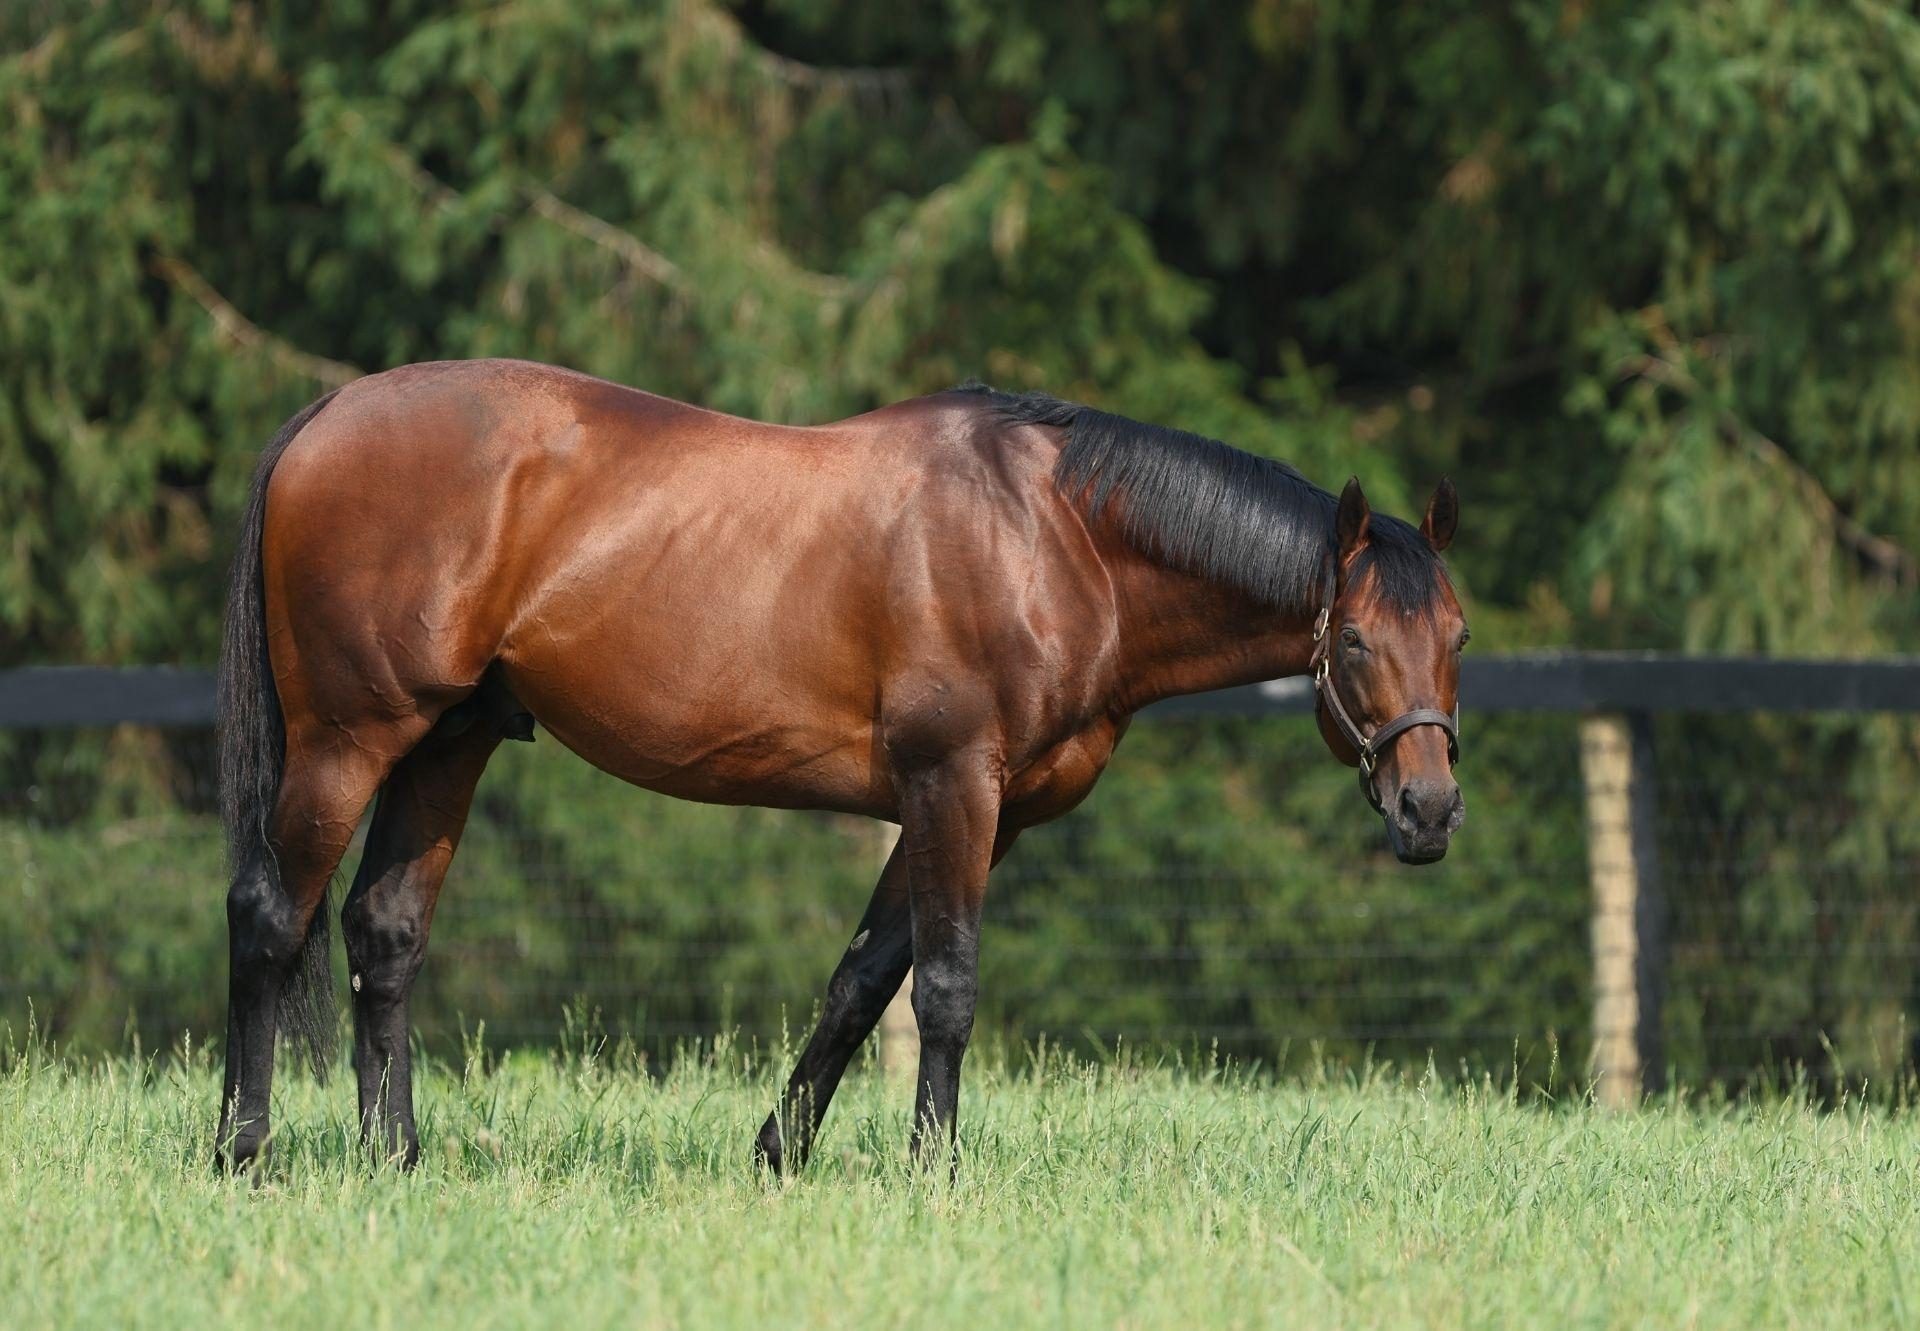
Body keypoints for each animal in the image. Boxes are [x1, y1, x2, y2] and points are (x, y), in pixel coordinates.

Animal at [214, 359, 1466, 1167]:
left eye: (1456, 635)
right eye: (1357, 641)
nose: (1431, 809)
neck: (1055, 537)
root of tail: (328, 411)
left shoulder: (972, 808)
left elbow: (865, 978)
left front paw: (781, 1151)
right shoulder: (956, 783)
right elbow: (949, 984)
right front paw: (935, 1173)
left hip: (447, 742)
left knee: (383, 931)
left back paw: (394, 1158)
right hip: (348, 738)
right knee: (271, 916)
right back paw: (242, 1149)